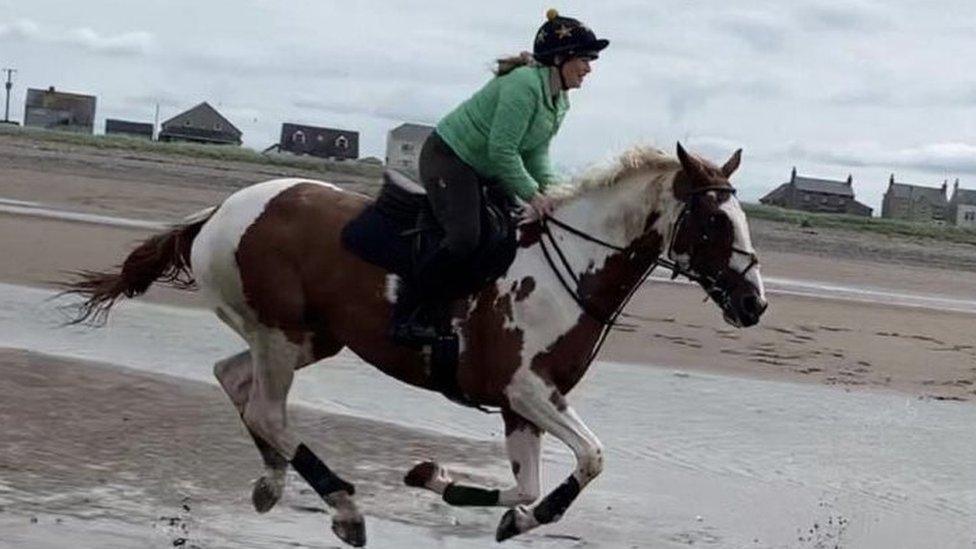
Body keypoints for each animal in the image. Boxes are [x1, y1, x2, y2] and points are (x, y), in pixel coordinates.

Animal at [66, 141, 772, 544]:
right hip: (280, 333)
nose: (754, 303)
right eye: (715, 221)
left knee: (235, 382)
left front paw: (452, 487)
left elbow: (525, 489)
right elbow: (592, 459)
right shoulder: (526, 391)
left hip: (311, 338)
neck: (570, 269)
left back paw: (273, 481)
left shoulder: (522, 408)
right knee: (266, 408)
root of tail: (220, 211)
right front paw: (511, 513)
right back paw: (344, 508)